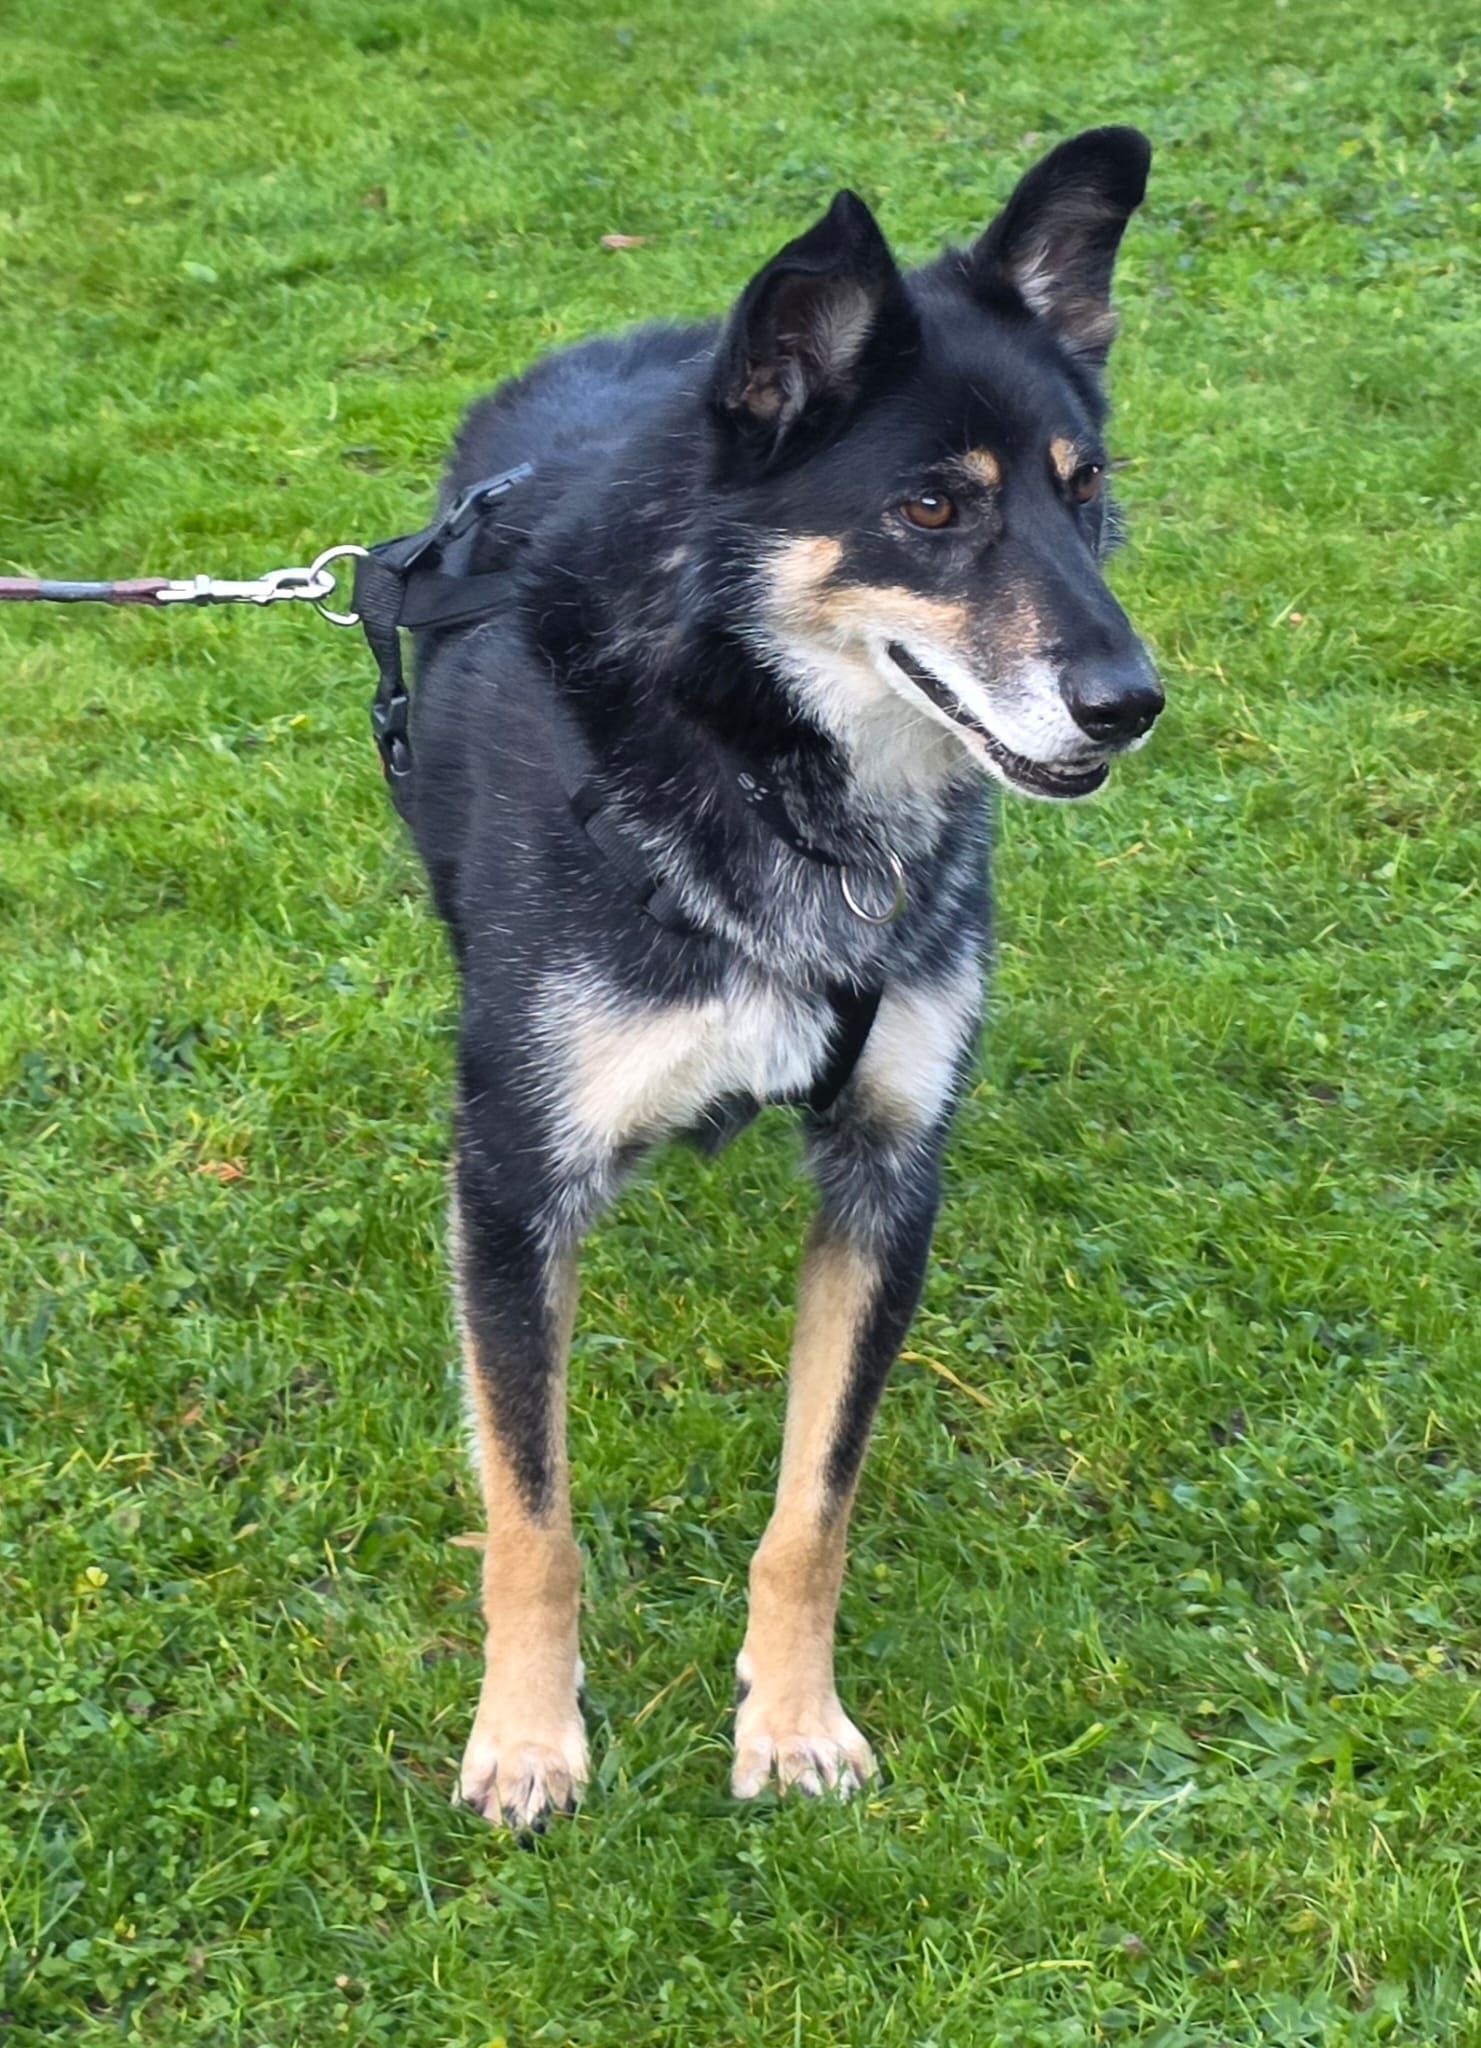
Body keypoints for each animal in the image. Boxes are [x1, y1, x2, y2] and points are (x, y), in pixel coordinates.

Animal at [394, 126, 1162, 1828]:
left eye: (1087, 494)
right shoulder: (511, 1182)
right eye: (931, 507)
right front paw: (527, 1736)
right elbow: (529, 1512)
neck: (771, 774)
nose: (1130, 701)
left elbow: (816, 1505)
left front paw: (794, 1719)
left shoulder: (889, 1171)